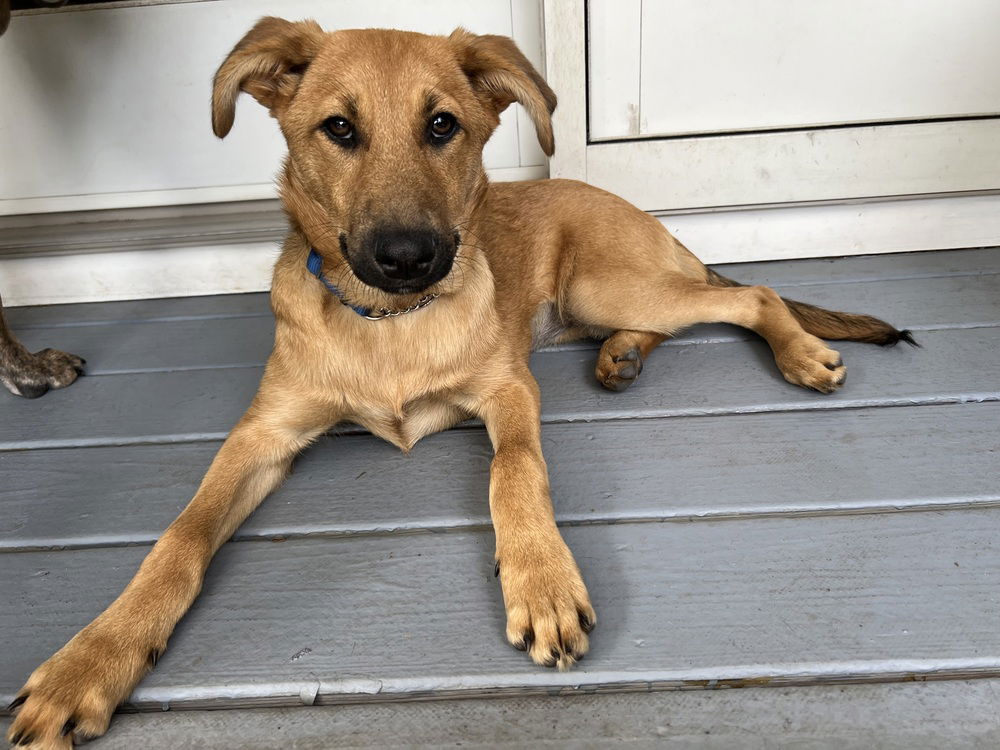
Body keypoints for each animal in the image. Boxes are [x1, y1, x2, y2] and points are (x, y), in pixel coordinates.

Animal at [7, 20, 916, 748]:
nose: (408, 258)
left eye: (443, 124)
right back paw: (622, 358)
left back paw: (797, 354)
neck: (388, 323)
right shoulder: (263, 432)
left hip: (607, 284)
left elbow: (515, 470)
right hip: (597, 303)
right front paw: (91, 659)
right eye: (338, 128)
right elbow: (183, 536)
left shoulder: (509, 392)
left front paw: (542, 580)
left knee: (749, 292)